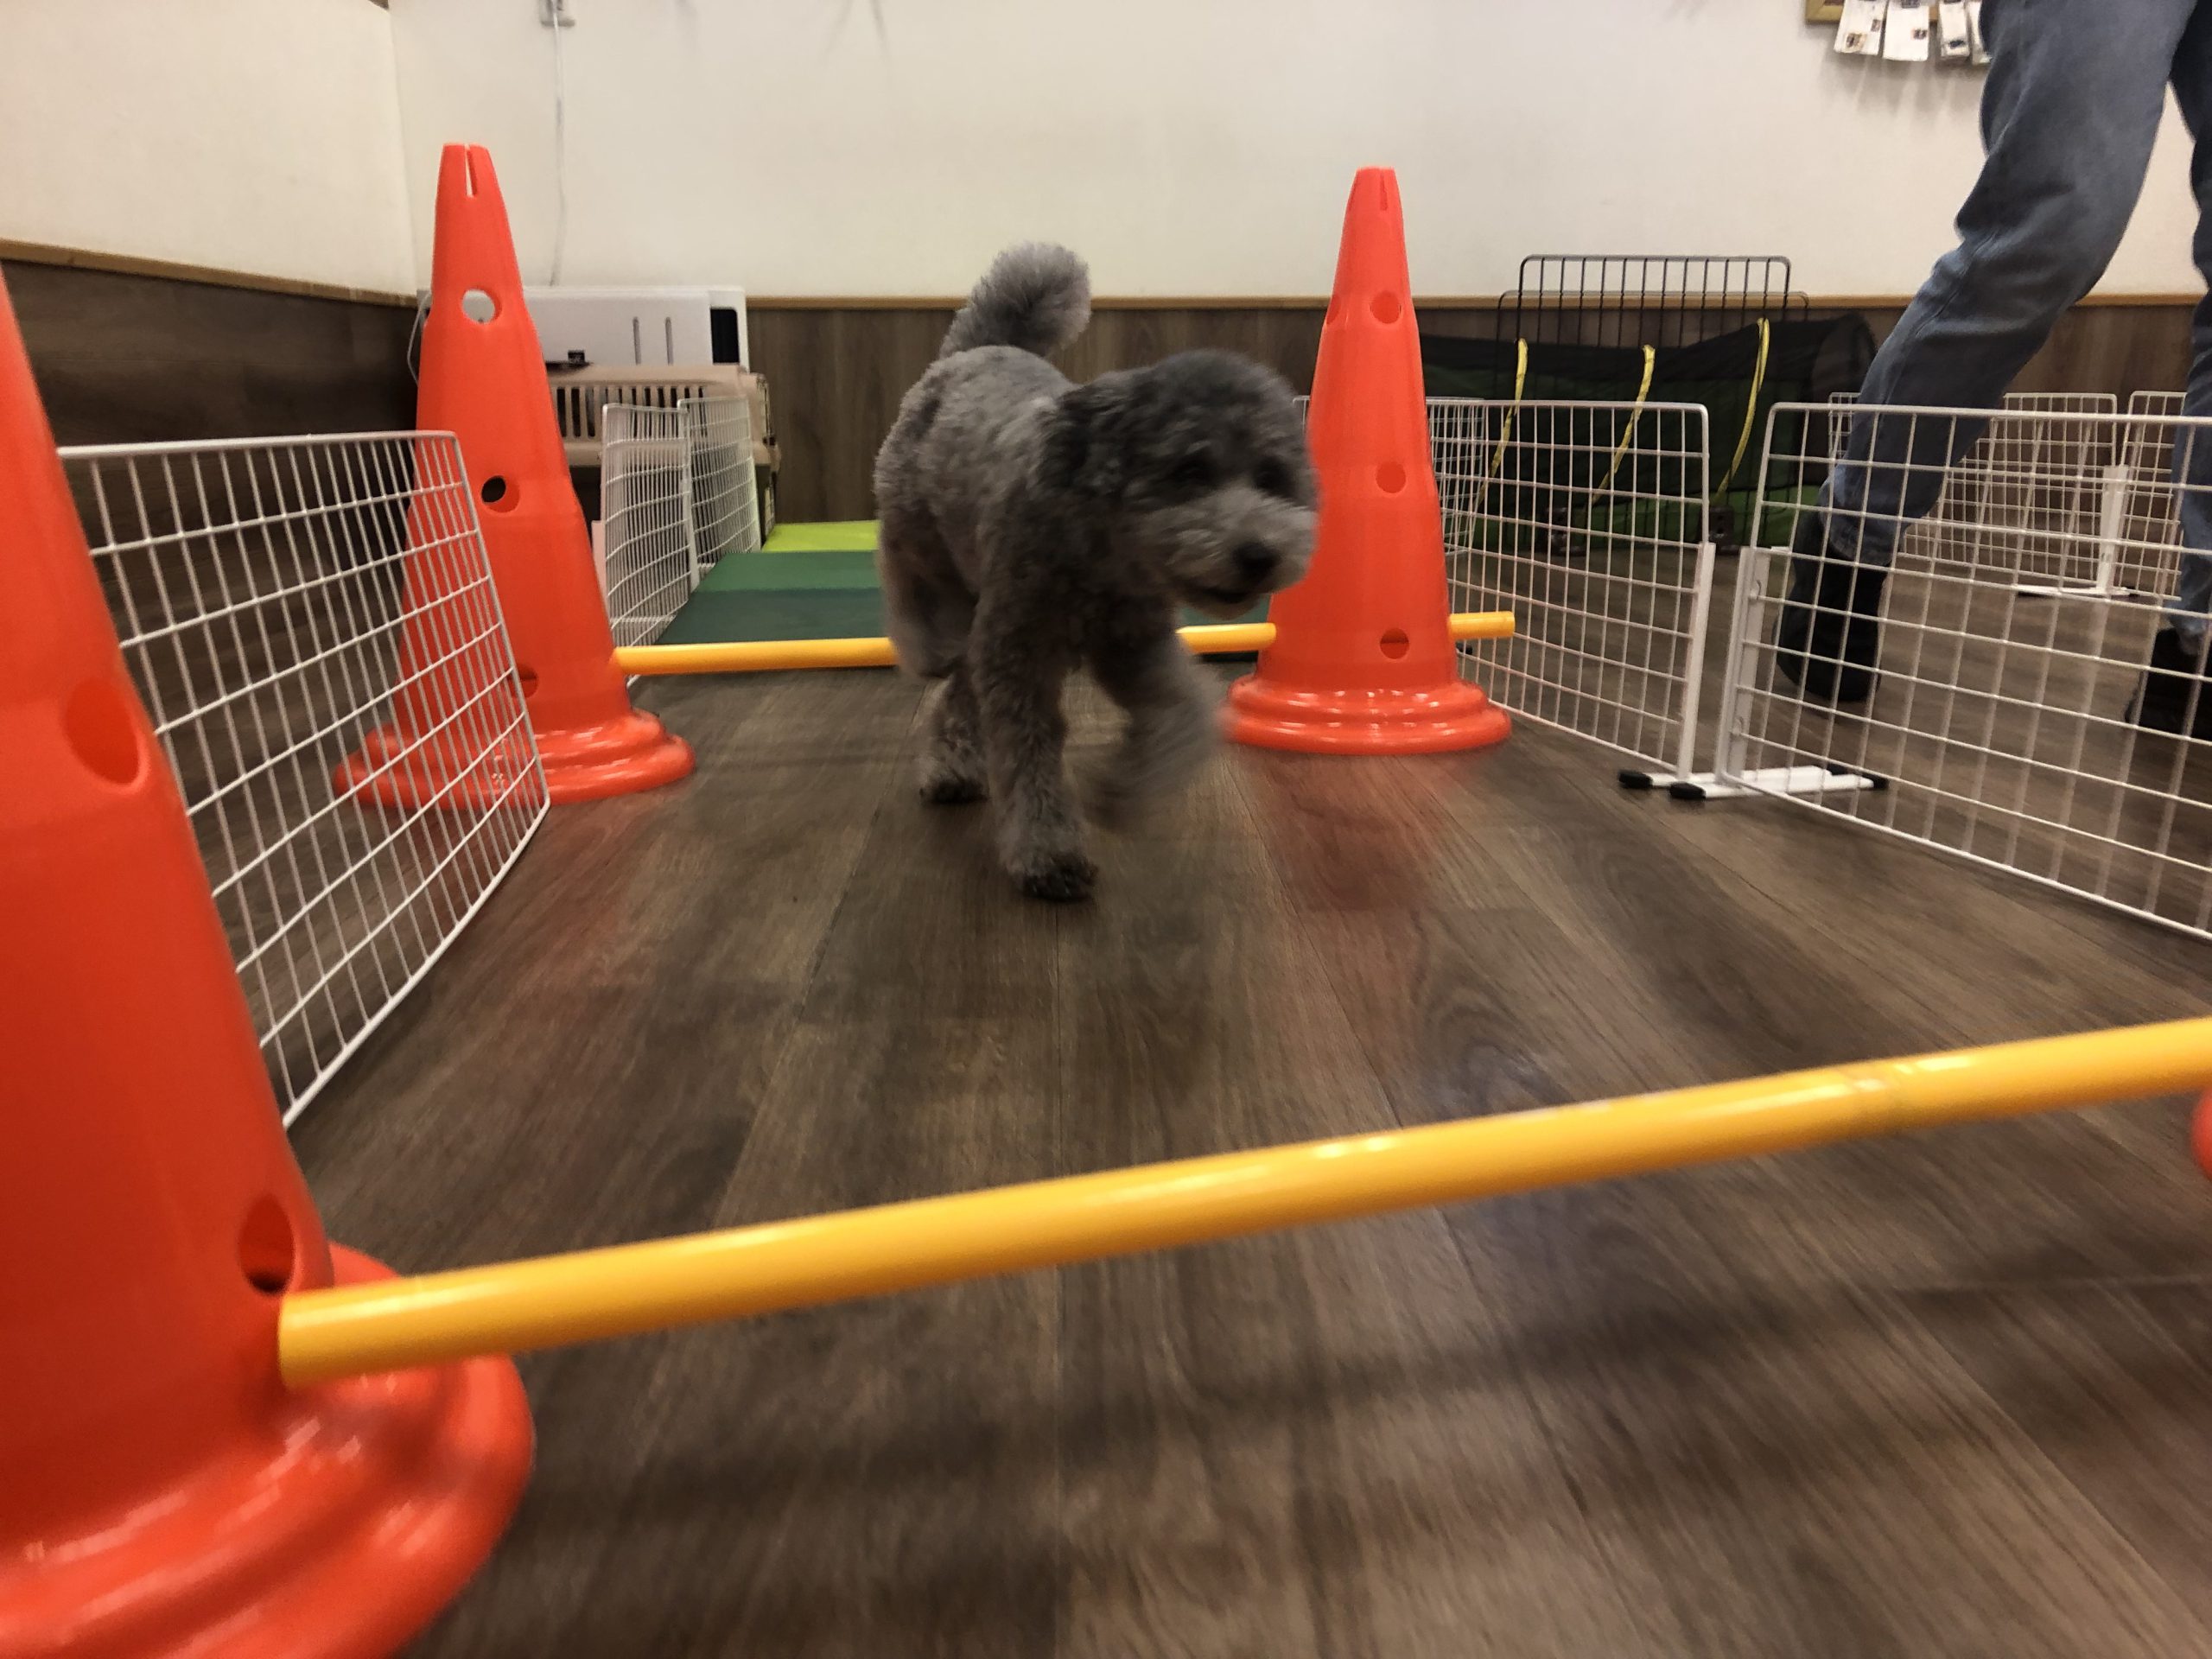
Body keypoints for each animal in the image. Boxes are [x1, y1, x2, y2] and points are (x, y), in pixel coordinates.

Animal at [872, 243, 1318, 901]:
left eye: (1271, 478)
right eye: (1189, 472)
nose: (1259, 554)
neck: (1103, 555)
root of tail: (980, 347)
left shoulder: (1132, 643)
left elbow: (1186, 712)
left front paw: (1122, 792)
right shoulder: (1020, 653)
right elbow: (1030, 758)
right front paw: (1049, 853)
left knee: (960, 684)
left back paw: (953, 764)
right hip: (918, 524)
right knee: (912, 586)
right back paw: (928, 642)